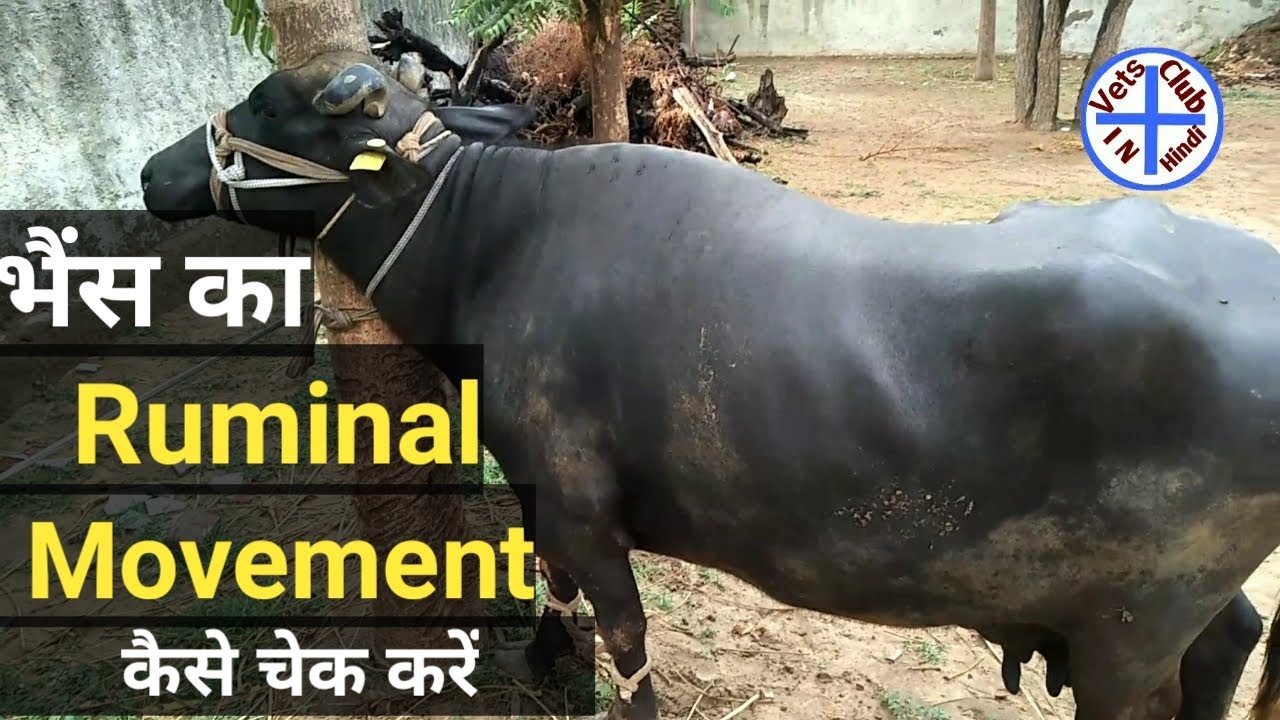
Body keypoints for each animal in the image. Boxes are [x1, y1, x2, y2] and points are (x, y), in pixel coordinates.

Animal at [139, 50, 1280, 720]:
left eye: (270, 106)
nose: (153, 174)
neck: (496, 242)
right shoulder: (541, 491)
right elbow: (552, 583)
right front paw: (540, 661)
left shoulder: (584, 506)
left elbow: (624, 634)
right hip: (1166, 613)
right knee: (1235, 636)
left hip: (1130, 637)